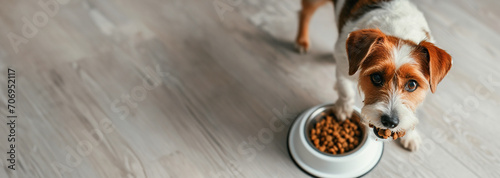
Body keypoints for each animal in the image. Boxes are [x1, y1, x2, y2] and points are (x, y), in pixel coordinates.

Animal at [294, 0, 456, 151]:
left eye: (412, 84)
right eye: (376, 77)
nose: (390, 122)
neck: (399, 32)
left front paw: (410, 135)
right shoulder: (344, 69)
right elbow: (345, 90)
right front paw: (343, 109)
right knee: (305, 13)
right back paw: (302, 40)